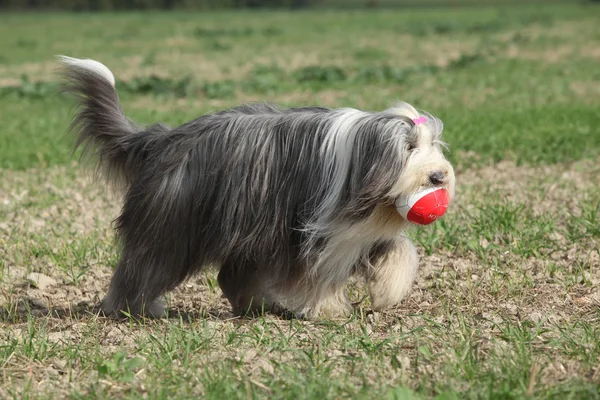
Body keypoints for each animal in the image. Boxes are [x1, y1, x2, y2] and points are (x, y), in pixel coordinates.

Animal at [59, 55, 454, 318]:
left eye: (434, 144)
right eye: (409, 147)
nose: (438, 177)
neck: (361, 155)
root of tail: (161, 138)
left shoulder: (354, 229)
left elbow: (399, 249)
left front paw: (388, 291)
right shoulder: (313, 228)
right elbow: (317, 273)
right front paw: (328, 310)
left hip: (248, 227)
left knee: (231, 274)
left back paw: (259, 304)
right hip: (175, 222)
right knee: (144, 263)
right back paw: (133, 309)